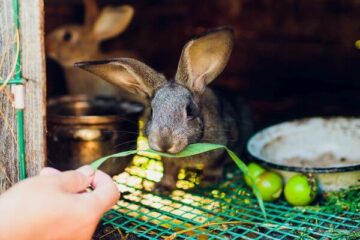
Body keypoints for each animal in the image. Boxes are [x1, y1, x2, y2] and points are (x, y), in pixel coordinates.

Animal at [74, 26, 252, 191]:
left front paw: (208, 182)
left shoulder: (223, 148)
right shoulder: (168, 161)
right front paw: (162, 188)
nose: (164, 143)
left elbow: (214, 167)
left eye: (189, 111)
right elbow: (169, 171)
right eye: (152, 111)